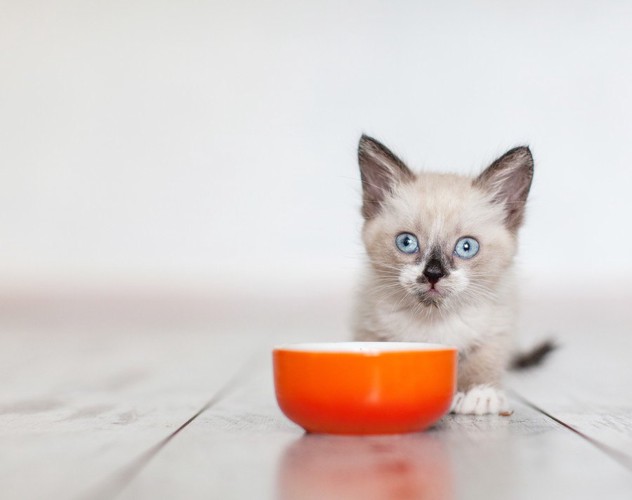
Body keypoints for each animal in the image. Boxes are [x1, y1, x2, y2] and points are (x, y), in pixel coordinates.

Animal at [356, 135, 532, 416]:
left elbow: (483, 361)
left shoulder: (496, 328)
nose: (433, 273)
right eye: (407, 242)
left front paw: (478, 394)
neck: (435, 320)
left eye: (466, 247)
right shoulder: (369, 328)